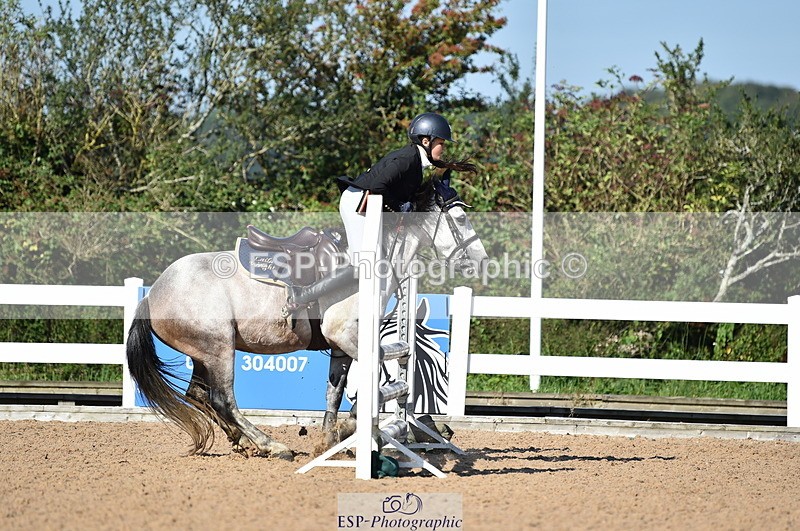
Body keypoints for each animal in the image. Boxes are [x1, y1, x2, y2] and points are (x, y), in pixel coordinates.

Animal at [125, 182, 488, 459]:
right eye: (461, 218)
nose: (482, 262)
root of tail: (152, 293)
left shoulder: (341, 346)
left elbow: (335, 393)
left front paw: (330, 441)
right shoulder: (345, 335)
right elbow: (371, 383)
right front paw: (353, 431)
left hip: (204, 353)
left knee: (198, 395)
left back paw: (242, 441)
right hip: (218, 348)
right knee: (222, 400)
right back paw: (271, 445)